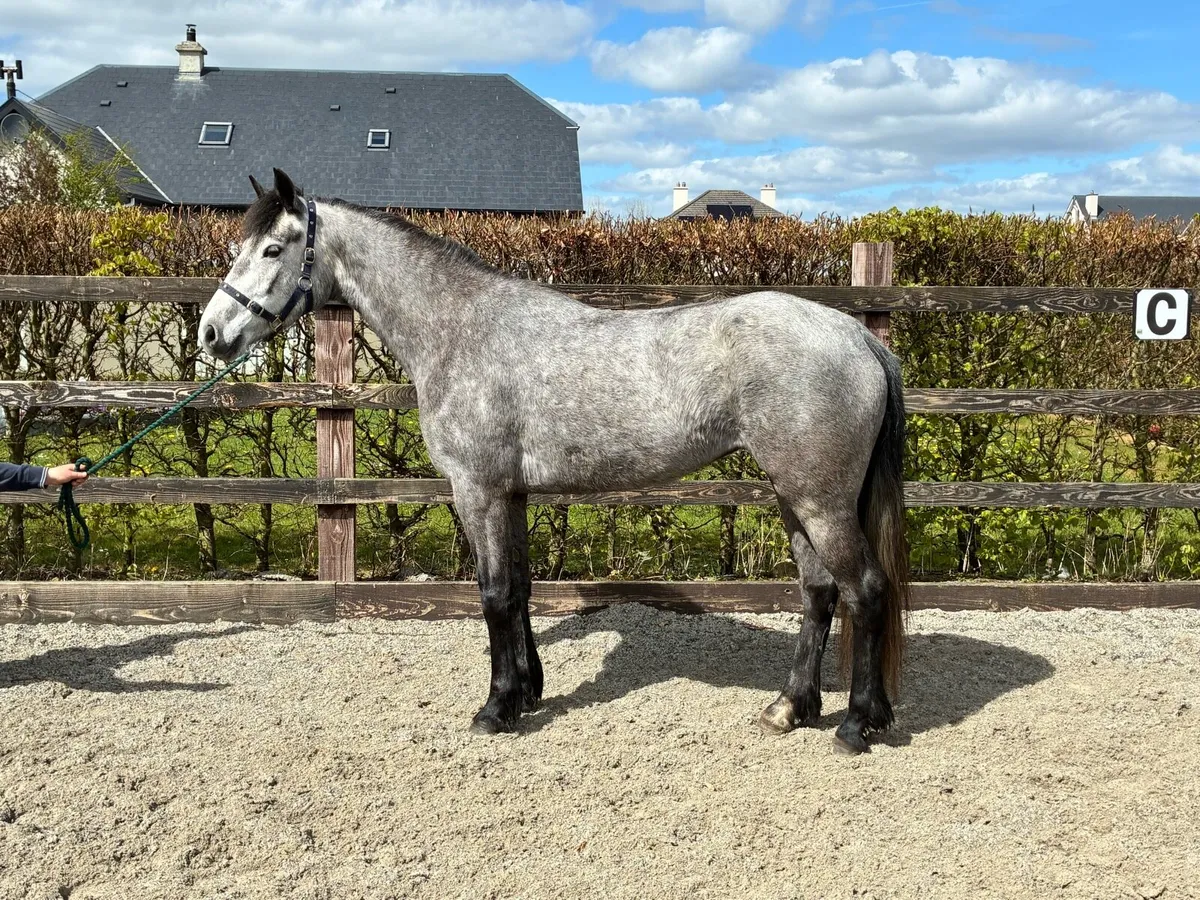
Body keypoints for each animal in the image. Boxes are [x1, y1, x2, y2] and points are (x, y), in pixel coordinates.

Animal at [198, 168, 911, 754]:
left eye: (272, 249)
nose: (211, 333)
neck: (461, 330)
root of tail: (858, 338)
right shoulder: (510, 495)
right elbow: (519, 589)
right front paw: (527, 689)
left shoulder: (478, 490)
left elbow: (492, 594)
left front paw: (494, 708)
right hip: (796, 496)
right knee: (820, 593)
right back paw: (790, 709)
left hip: (820, 500)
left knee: (866, 590)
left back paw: (858, 723)